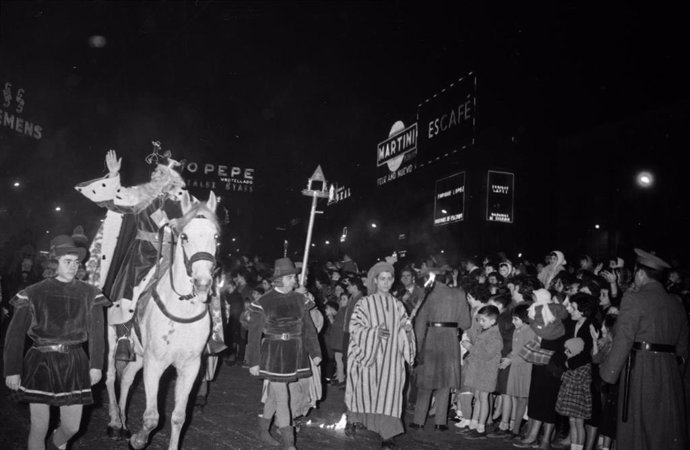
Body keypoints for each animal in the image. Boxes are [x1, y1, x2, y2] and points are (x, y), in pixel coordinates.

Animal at [103, 192, 218, 450]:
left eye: (216, 236)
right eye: (184, 236)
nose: (203, 283)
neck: (182, 310)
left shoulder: (190, 366)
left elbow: (178, 417)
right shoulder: (155, 363)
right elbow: (152, 417)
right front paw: (138, 440)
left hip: (139, 355)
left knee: (127, 378)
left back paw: (123, 423)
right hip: (113, 338)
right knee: (111, 377)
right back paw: (115, 422)